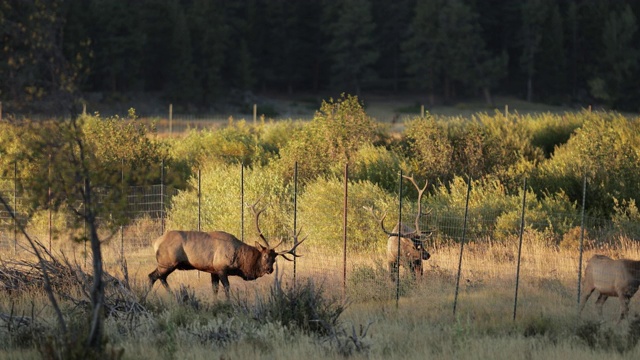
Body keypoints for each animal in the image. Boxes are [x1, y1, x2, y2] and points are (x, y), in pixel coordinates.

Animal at [148, 200, 304, 298]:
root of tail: (156, 242)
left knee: (160, 277)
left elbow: (215, 290)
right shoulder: (221, 268)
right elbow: (227, 288)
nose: (269, 269)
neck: (240, 262)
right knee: (153, 276)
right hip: (167, 262)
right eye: (265, 256)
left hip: (165, 264)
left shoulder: (213, 270)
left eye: (275, 259)